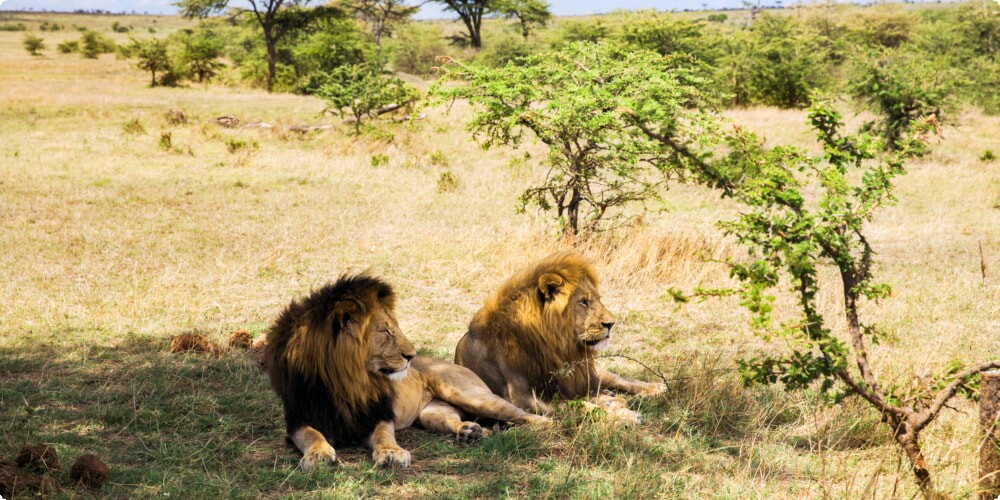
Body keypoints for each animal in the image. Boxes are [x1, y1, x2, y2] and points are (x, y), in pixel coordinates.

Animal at [262, 272, 548, 470]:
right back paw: (470, 432)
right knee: (456, 421)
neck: (346, 381)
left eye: (394, 328)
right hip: (432, 413)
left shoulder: (379, 414)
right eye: (385, 331)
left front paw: (392, 453)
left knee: (527, 415)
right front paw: (318, 454)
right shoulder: (299, 419)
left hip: (469, 394)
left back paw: (537, 427)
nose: (411, 356)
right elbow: (312, 435)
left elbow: (383, 435)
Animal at [456, 252, 664, 420]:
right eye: (584, 302)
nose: (611, 324)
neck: (554, 346)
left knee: (616, 378)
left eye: (598, 299)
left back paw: (655, 387)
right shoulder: (524, 398)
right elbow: (580, 406)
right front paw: (624, 416)